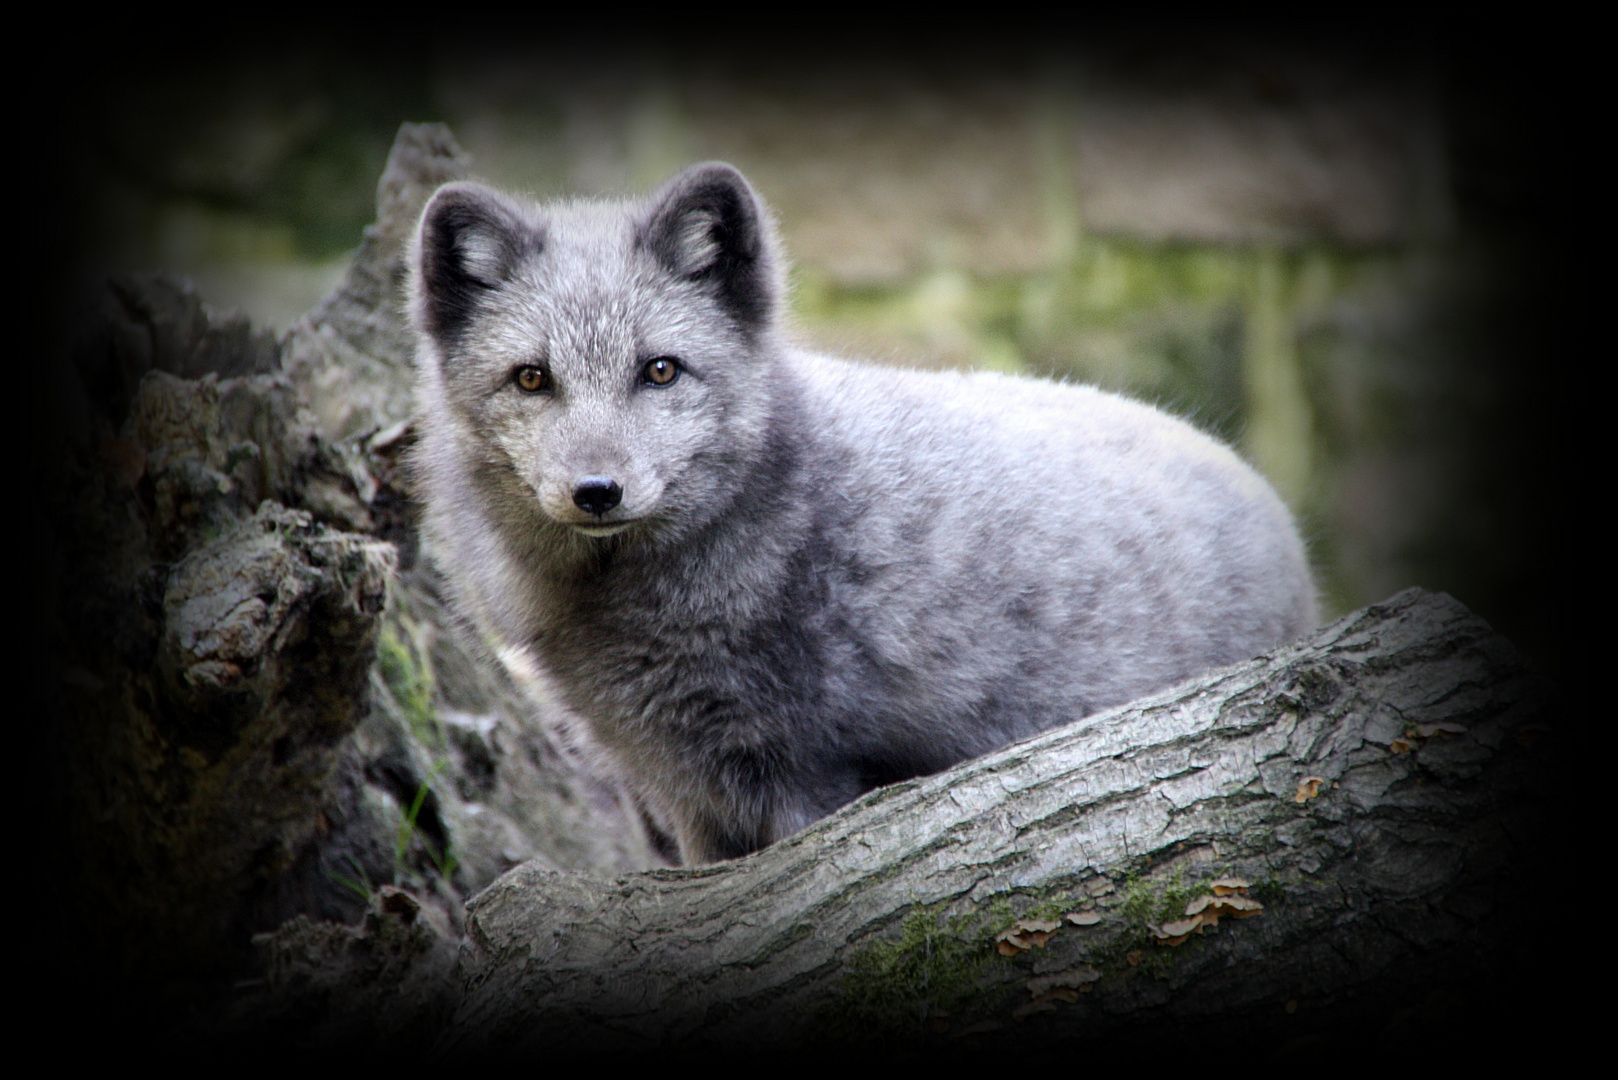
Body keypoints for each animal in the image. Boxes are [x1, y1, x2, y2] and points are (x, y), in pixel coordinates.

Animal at [404, 165, 1313, 867]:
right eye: (532, 378)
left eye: (660, 370)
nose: (597, 490)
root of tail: (1266, 497)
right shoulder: (689, 796)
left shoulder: (810, 780)